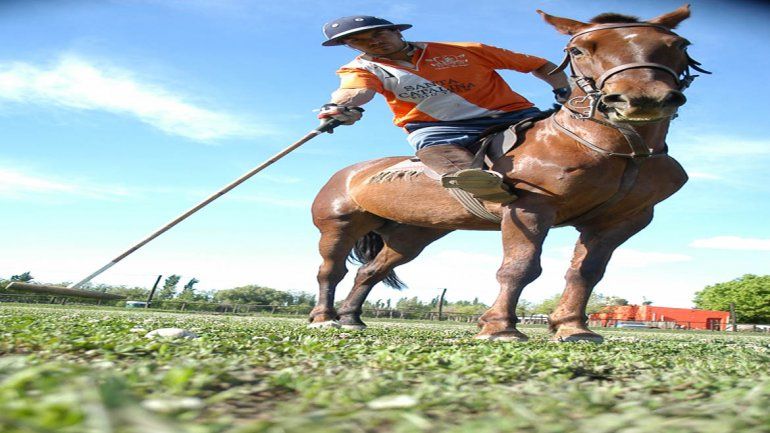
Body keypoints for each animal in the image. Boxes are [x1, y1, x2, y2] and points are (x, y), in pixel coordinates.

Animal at [308, 4, 708, 342]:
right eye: (579, 50)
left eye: (679, 44)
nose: (641, 99)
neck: (622, 149)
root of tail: (348, 172)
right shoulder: (529, 208)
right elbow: (520, 268)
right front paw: (500, 326)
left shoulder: (622, 220)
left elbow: (586, 273)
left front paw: (573, 328)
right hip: (339, 225)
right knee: (331, 270)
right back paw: (324, 317)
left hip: (414, 233)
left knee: (369, 271)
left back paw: (351, 317)